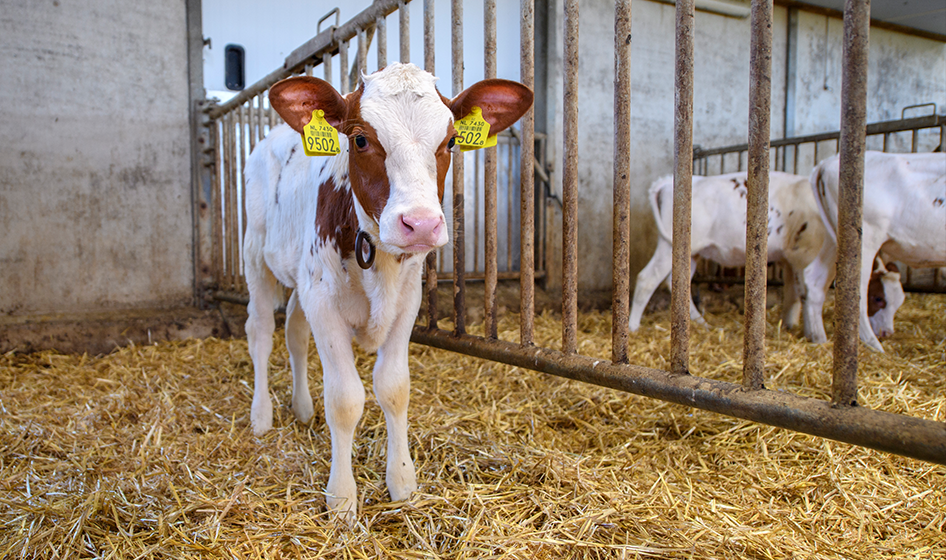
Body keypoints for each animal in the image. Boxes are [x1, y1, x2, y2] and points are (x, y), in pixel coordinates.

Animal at [243, 63, 532, 520]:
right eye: (360, 139)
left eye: (452, 140)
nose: (421, 223)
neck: (379, 260)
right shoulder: (324, 303)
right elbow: (345, 400)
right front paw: (342, 498)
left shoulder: (404, 304)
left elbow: (394, 389)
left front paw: (402, 481)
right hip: (254, 254)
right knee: (260, 333)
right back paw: (261, 416)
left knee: (294, 332)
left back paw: (303, 408)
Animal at [628, 168, 900, 342]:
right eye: (877, 298)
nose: (887, 333)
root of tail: (668, 183)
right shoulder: (803, 252)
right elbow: (805, 291)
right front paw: (810, 332)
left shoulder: (789, 258)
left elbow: (792, 293)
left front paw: (789, 323)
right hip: (669, 245)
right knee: (647, 279)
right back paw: (632, 326)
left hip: (691, 252)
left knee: (677, 282)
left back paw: (700, 323)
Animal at [808, 149, 940, 350]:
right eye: (878, 299)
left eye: (900, 302)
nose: (888, 333)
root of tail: (827, 162)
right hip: (865, 236)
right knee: (857, 290)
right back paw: (874, 346)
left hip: (836, 237)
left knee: (814, 279)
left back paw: (819, 338)